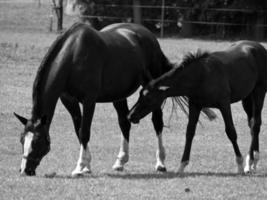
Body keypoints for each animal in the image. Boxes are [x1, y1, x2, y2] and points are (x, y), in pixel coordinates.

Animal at [14, 21, 188, 175]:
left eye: (37, 142)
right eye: (22, 140)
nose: (25, 171)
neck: (73, 55)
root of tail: (149, 36)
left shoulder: (89, 100)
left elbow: (84, 131)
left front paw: (79, 167)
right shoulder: (69, 100)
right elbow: (78, 130)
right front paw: (86, 166)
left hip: (152, 92)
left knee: (157, 122)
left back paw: (160, 163)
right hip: (119, 95)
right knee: (124, 123)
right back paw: (120, 162)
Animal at [128, 40, 267, 173]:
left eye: (149, 98)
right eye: (140, 94)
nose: (130, 116)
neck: (202, 75)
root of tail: (258, 46)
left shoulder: (224, 104)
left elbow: (231, 132)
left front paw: (239, 165)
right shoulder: (195, 105)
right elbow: (189, 132)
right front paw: (181, 166)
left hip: (259, 92)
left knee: (255, 124)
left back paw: (250, 163)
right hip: (247, 98)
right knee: (251, 123)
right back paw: (252, 162)